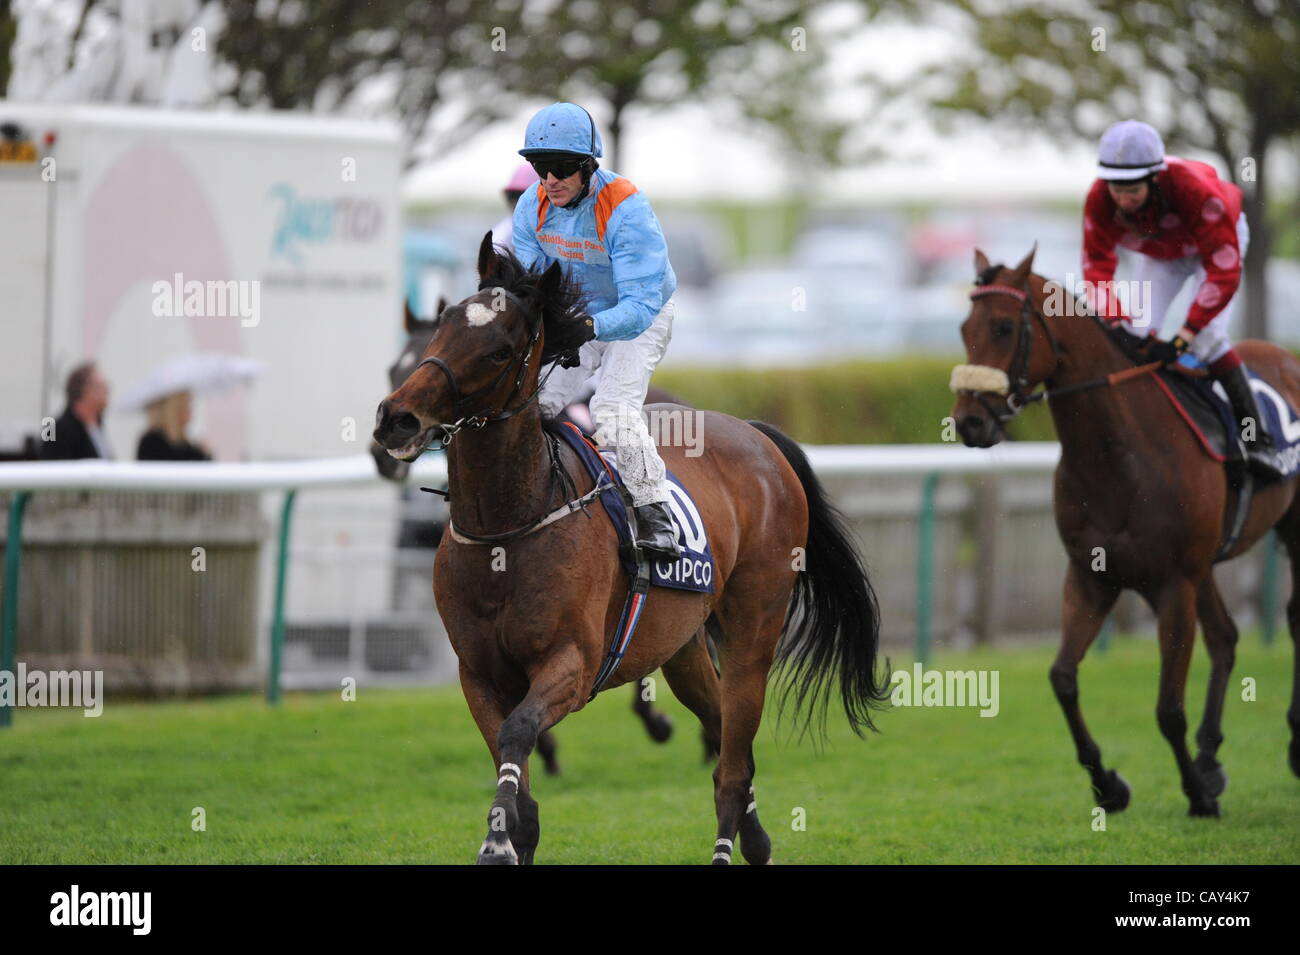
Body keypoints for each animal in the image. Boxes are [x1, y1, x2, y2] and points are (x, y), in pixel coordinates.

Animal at [951, 244, 1300, 815]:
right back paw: (1210, 757)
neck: (1119, 454)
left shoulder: (1173, 584)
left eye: (1002, 327)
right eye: (964, 329)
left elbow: (1168, 708)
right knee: (1225, 638)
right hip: (1205, 564)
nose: (968, 422)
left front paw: (1196, 795)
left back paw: (1285, 744)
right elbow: (1062, 678)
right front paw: (1108, 784)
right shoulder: (1091, 576)